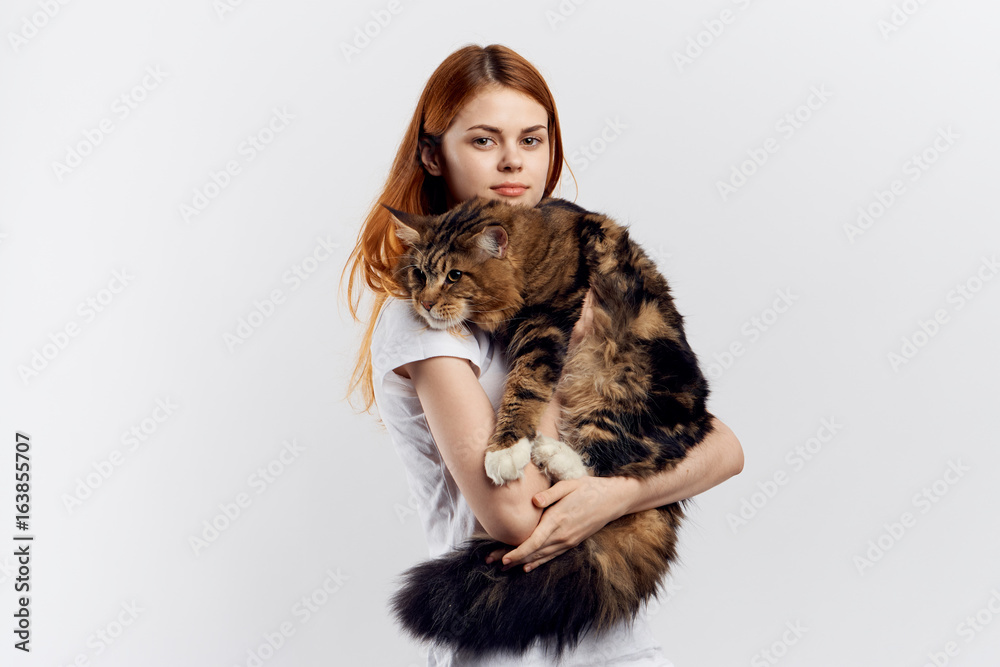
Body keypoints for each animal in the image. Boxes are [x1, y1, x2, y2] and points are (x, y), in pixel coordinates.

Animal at [378, 196, 716, 660]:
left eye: (454, 276)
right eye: (419, 273)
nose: (426, 304)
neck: (537, 253)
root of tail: (699, 413)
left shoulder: (547, 323)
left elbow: (524, 387)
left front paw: (505, 449)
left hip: (634, 381)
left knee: (618, 459)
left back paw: (550, 452)